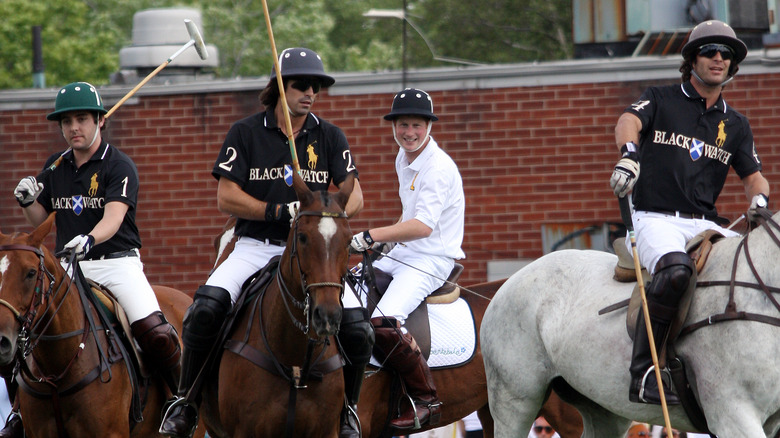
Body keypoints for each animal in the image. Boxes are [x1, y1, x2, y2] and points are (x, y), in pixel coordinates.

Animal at [198, 172, 354, 438]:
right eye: (302, 237)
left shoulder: (326, 431)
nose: (327, 316)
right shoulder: (245, 431)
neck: (296, 357)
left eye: (348, 240)